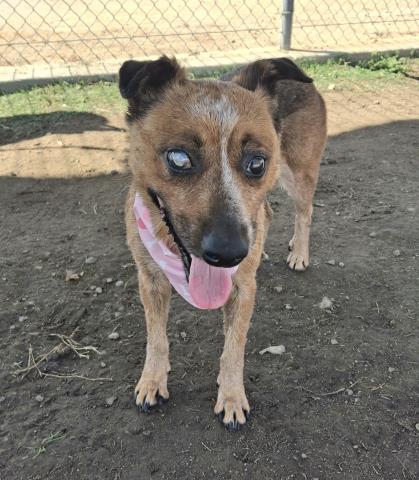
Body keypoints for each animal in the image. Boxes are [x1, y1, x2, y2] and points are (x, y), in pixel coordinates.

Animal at [118, 55, 328, 432]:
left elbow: (234, 348)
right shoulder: (150, 280)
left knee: (304, 211)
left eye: (256, 162)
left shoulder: (243, 290)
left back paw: (299, 253)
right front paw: (152, 380)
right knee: (267, 212)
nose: (230, 254)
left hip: (298, 172)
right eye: (179, 158)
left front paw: (231, 397)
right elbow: (156, 338)